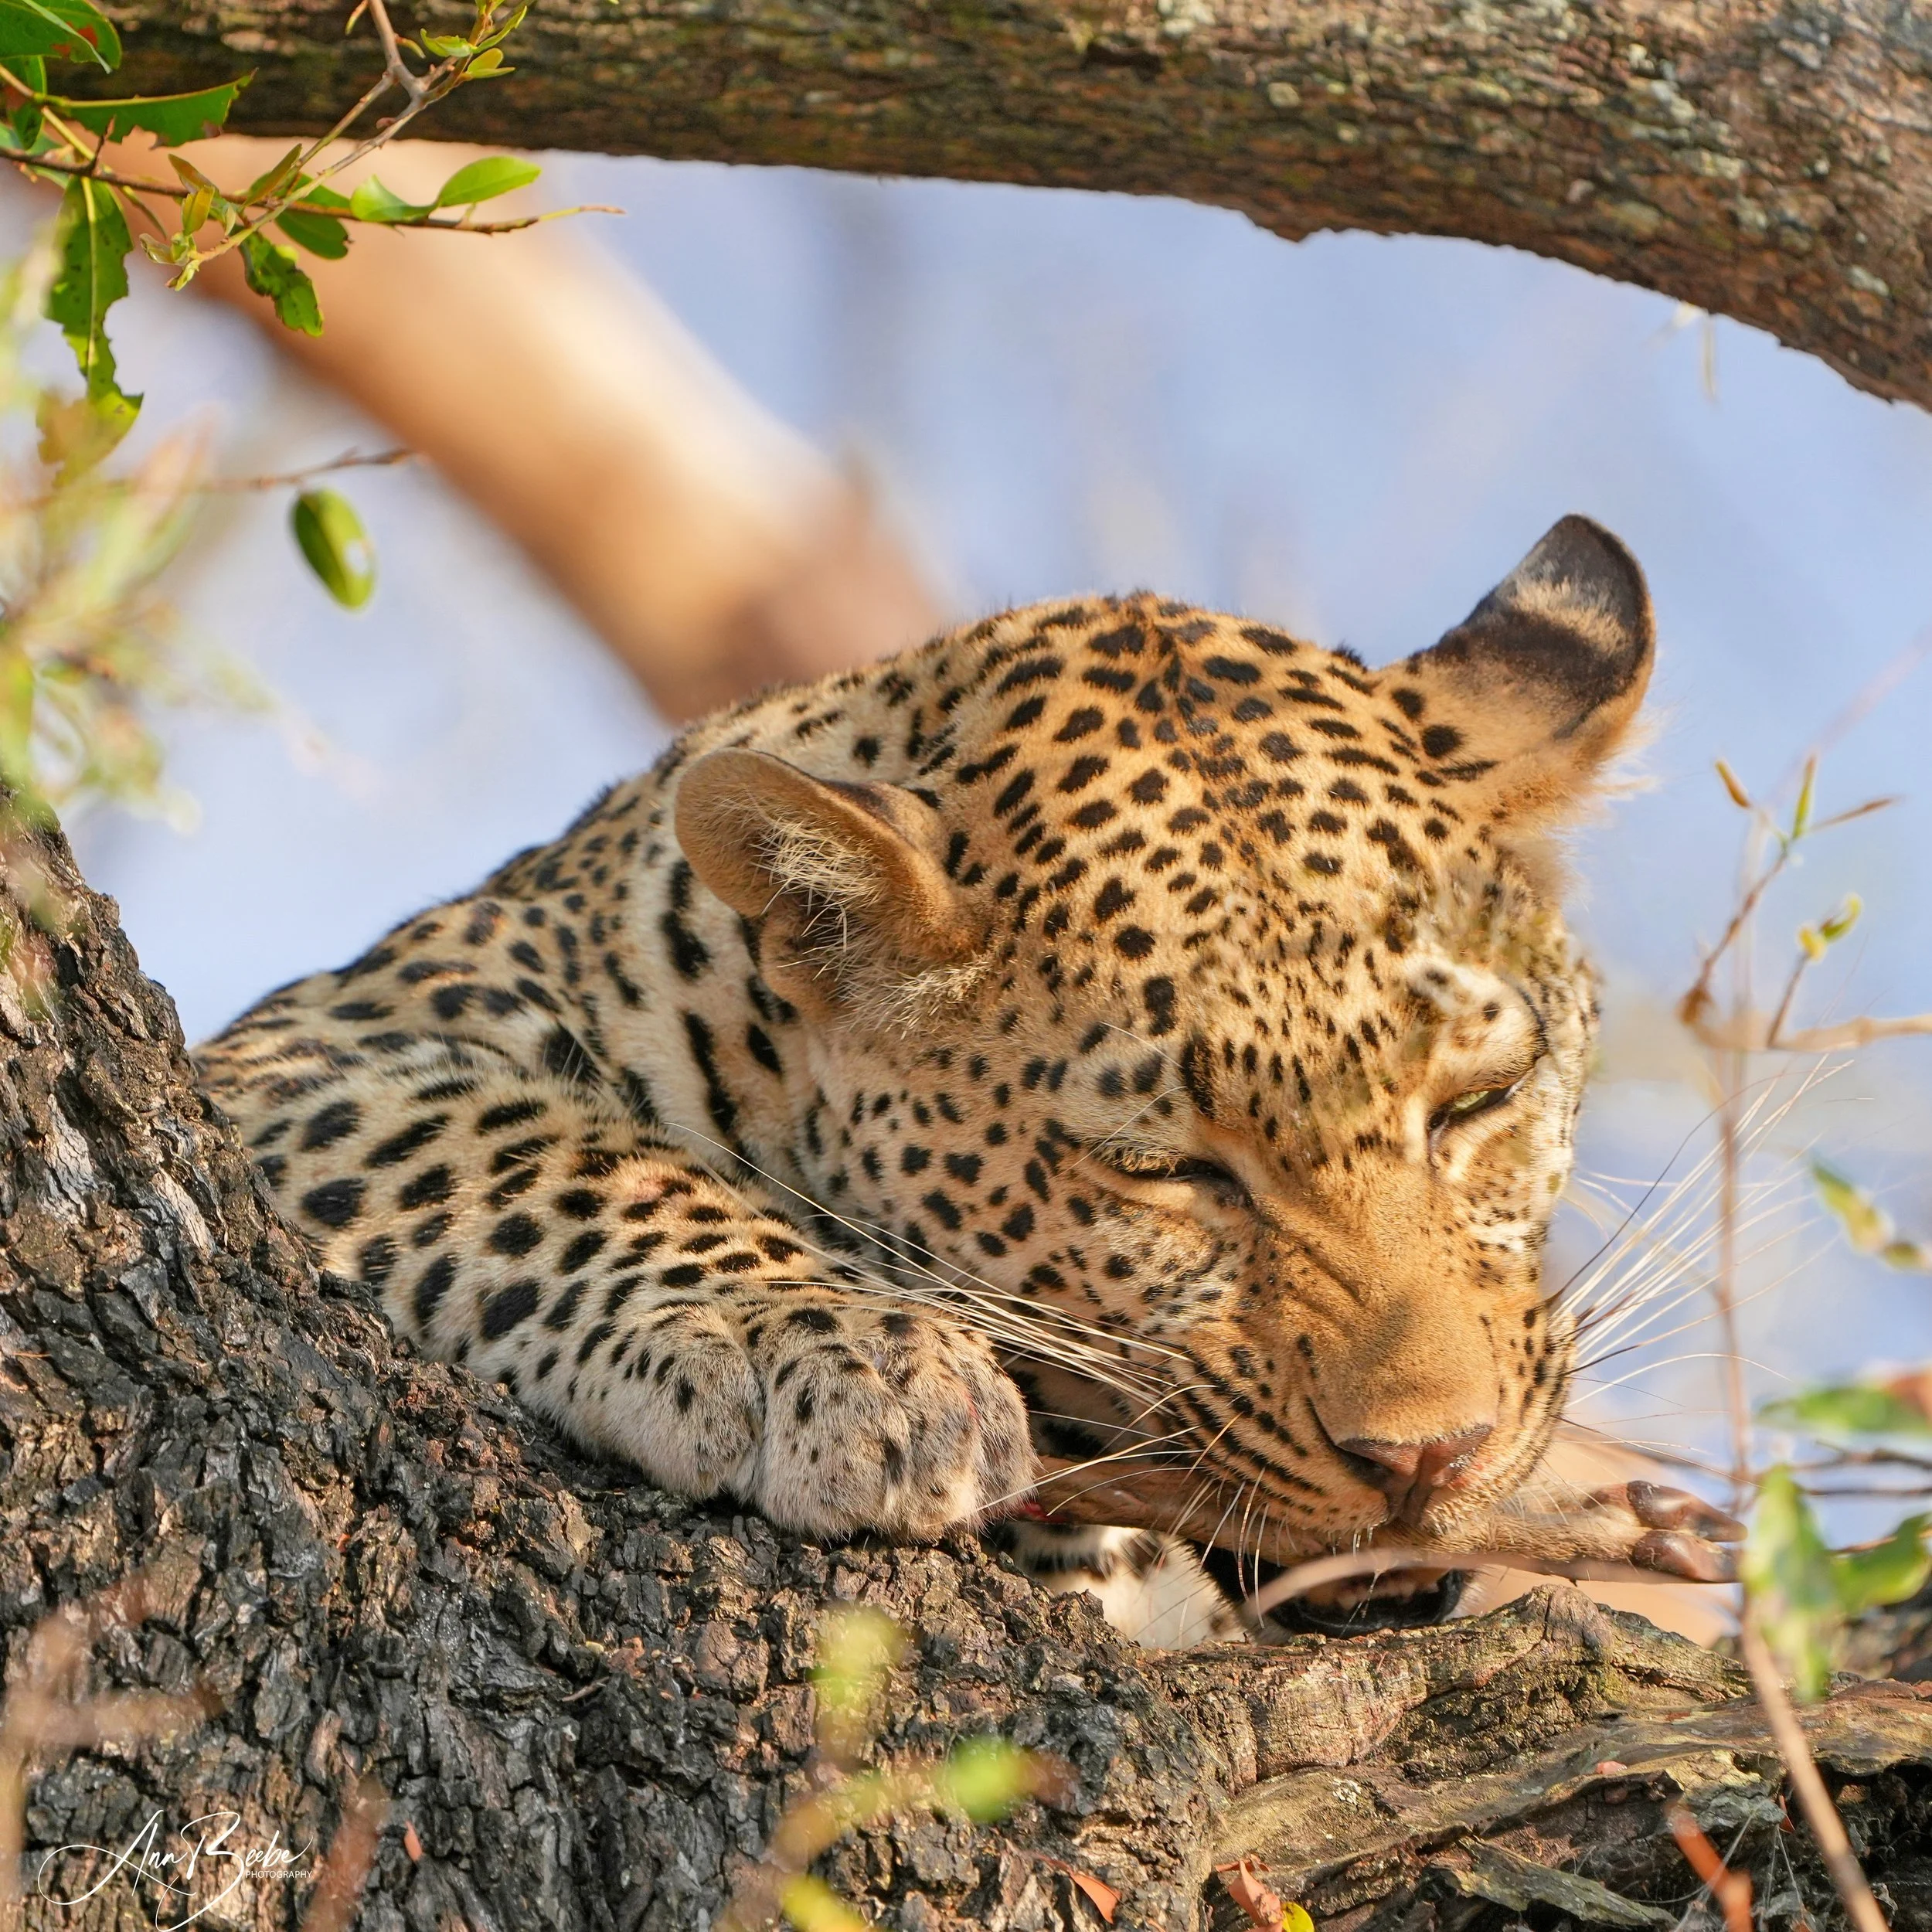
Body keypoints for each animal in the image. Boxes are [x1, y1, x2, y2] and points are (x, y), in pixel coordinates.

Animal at [196, 515, 1742, 1647]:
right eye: (1163, 1171)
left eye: (1480, 1103)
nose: (1432, 1459)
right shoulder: (299, 1048)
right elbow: (552, 1156)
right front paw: (836, 1350)